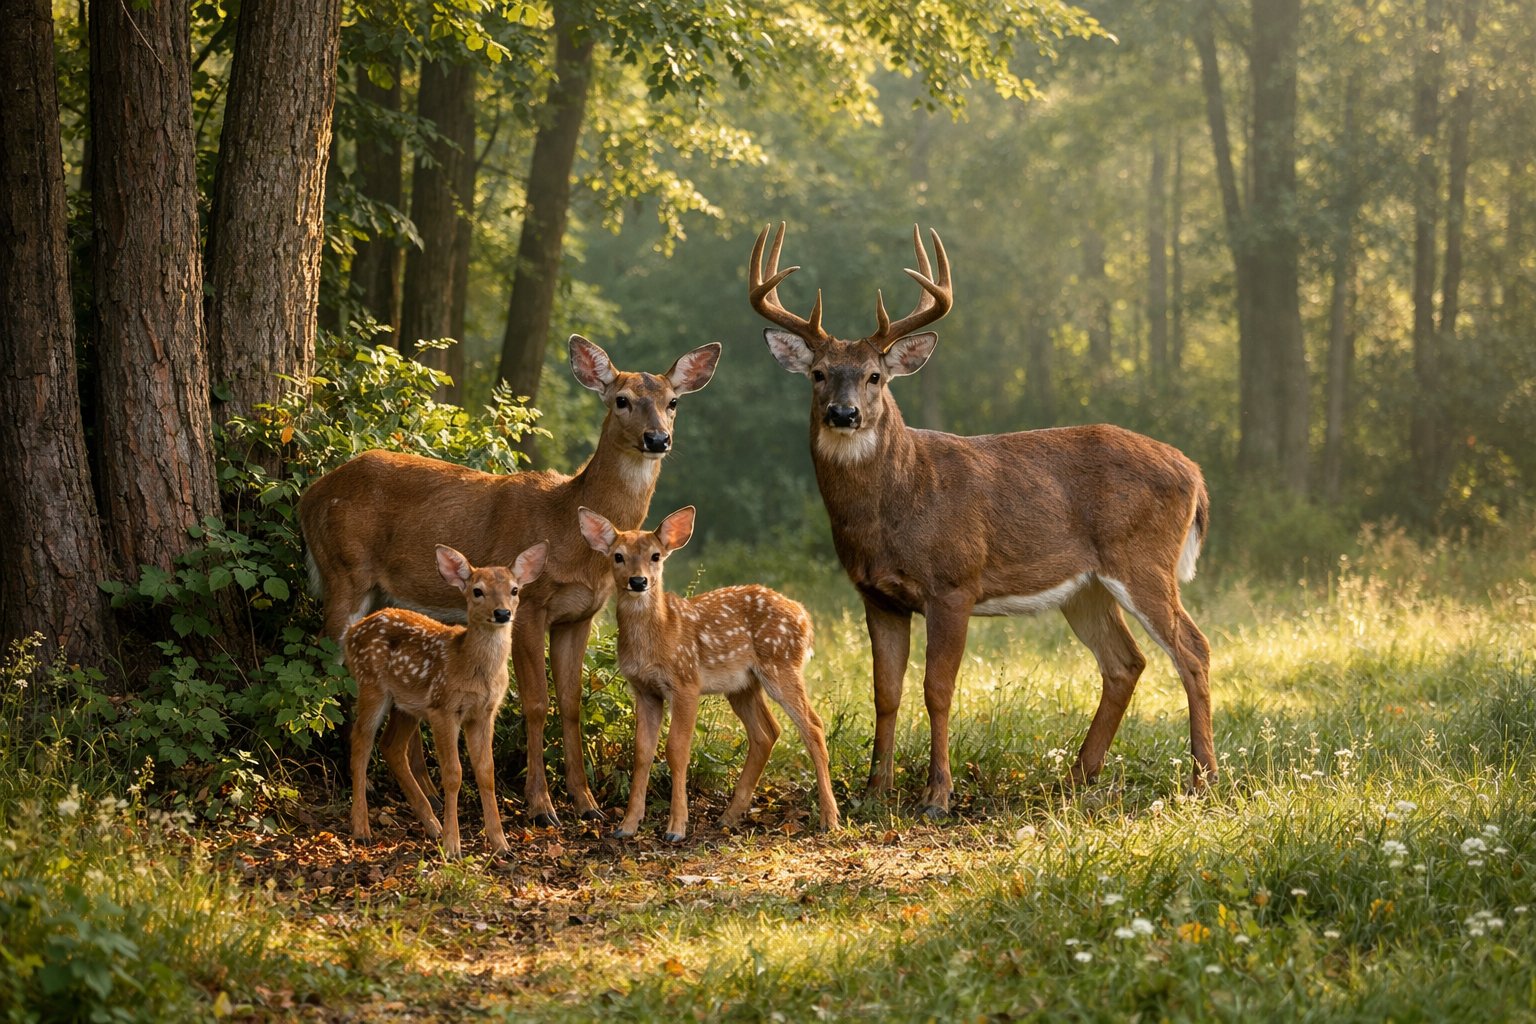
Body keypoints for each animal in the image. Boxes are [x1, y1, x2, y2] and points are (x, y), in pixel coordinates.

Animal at [346, 542, 547, 857]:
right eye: (477, 591)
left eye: (514, 589)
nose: (502, 613)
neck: (470, 666)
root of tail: (351, 633)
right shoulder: (444, 709)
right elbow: (453, 774)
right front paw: (453, 847)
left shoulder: (484, 713)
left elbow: (486, 772)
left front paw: (500, 844)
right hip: (372, 686)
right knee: (360, 744)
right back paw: (362, 829)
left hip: (408, 704)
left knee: (391, 746)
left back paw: (432, 826)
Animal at [576, 505, 839, 842]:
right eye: (618, 556)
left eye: (655, 555)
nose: (638, 581)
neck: (660, 636)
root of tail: (805, 617)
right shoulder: (645, 690)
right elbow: (642, 753)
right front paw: (627, 826)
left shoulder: (686, 682)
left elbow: (676, 750)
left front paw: (676, 828)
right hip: (743, 685)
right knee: (767, 732)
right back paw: (729, 816)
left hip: (781, 664)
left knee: (813, 727)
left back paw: (829, 819)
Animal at [748, 223, 1214, 815]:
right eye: (818, 374)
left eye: (876, 376)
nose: (844, 413)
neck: (898, 503)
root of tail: (1194, 472)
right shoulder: (876, 595)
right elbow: (885, 691)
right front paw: (875, 792)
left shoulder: (953, 583)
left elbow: (937, 688)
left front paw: (936, 794)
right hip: (1086, 588)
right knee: (1125, 663)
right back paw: (1077, 777)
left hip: (1143, 560)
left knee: (1192, 649)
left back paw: (1203, 779)